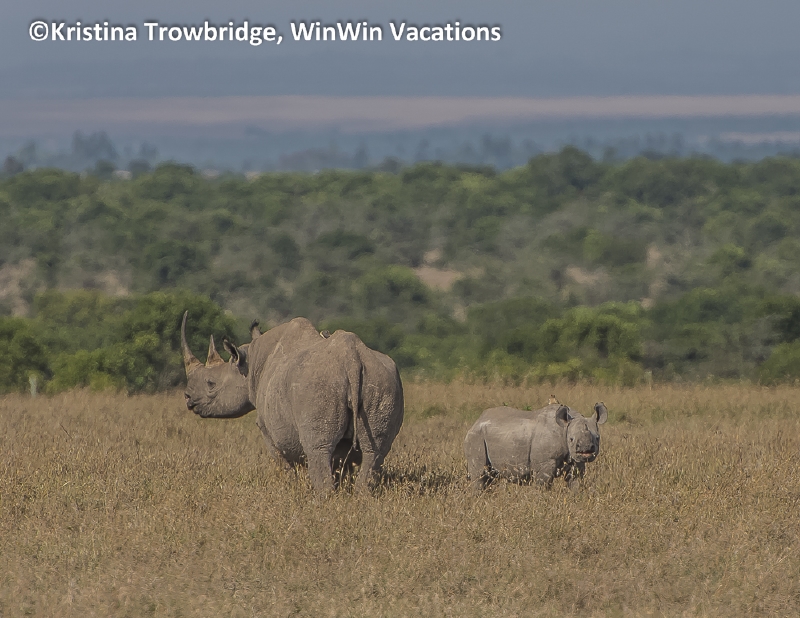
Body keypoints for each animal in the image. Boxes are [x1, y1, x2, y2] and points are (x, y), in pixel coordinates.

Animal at [181, 312, 404, 494]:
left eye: (211, 384)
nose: (188, 398)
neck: (249, 363)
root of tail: (352, 357)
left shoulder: (267, 430)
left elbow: (284, 465)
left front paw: (290, 488)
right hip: (381, 380)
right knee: (374, 452)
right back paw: (361, 497)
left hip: (317, 384)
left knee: (319, 450)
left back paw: (323, 501)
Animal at [464, 402, 608, 491]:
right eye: (571, 439)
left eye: (597, 438)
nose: (586, 450)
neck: (564, 428)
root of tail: (476, 422)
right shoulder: (545, 462)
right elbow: (543, 482)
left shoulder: (576, 460)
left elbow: (575, 481)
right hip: (476, 437)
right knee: (480, 475)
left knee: (489, 476)